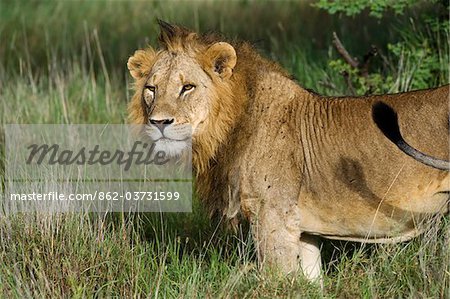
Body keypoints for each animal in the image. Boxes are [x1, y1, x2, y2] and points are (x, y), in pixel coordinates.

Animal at [126, 20, 450, 284]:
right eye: (152, 89)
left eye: (187, 87)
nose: (159, 122)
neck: (228, 126)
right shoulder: (302, 229)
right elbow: (310, 282)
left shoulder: (273, 217)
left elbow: (276, 280)